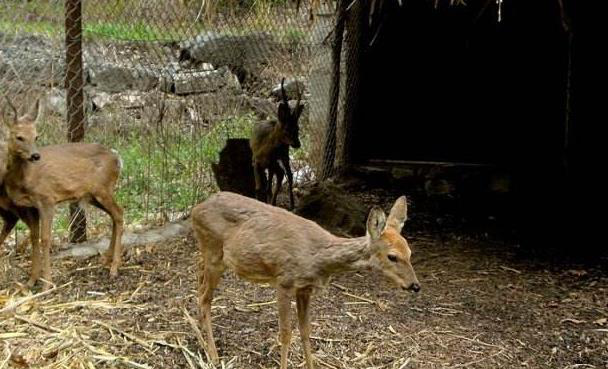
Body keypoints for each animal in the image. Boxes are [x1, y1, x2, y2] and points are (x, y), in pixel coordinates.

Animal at [1, 98, 123, 288]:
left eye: (36, 136)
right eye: (19, 137)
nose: (35, 156)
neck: (24, 179)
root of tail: (117, 159)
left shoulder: (47, 199)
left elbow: (45, 238)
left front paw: (47, 283)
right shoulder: (31, 206)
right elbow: (34, 237)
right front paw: (31, 281)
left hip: (103, 189)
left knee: (119, 213)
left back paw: (114, 268)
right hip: (93, 195)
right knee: (114, 215)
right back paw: (106, 260)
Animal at [192, 191, 420, 366]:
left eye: (410, 252)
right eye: (392, 256)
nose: (415, 285)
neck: (317, 258)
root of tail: (195, 209)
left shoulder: (305, 288)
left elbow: (305, 331)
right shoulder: (283, 281)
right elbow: (285, 333)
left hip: (209, 256)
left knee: (199, 288)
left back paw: (201, 342)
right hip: (213, 252)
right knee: (204, 298)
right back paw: (212, 355)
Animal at [248, 77, 302, 210]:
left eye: (297, 128)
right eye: (287, 129)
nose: (298, 144)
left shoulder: (271, 162)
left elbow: (270, 186)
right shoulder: (256, 162)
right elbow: (258, 188)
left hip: (284, 155)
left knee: (288, 174)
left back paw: (291, 204)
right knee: (280, 175)